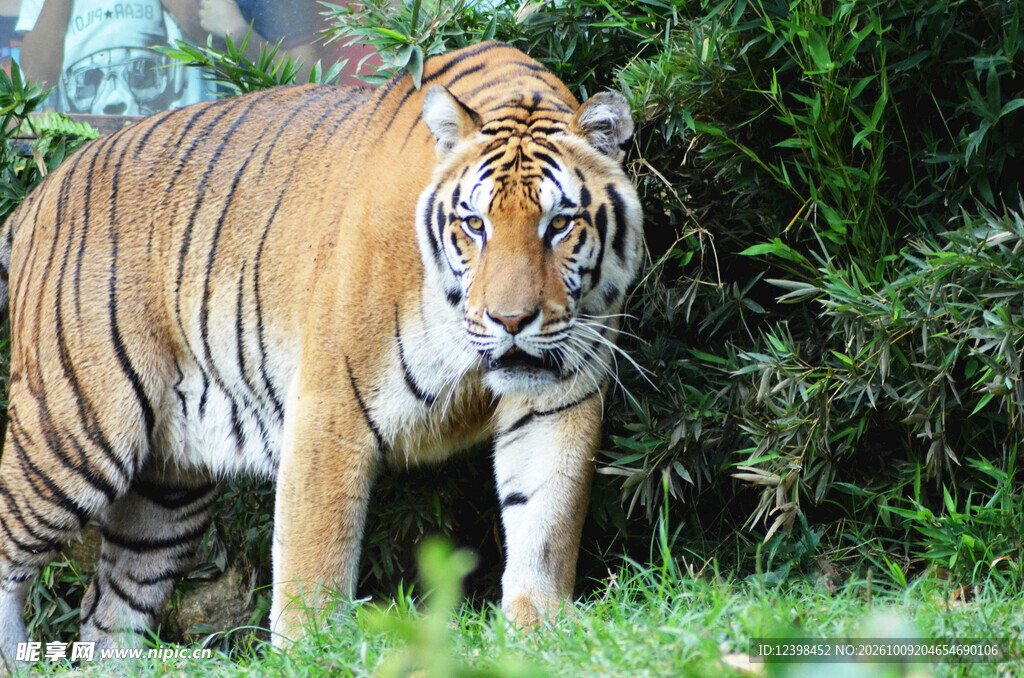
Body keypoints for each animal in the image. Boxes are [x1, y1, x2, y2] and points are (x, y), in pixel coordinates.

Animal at [0, 41, 642, 664]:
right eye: (474, 225)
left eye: (558, 224)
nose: (511, 321)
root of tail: (37, 194)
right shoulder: (332, 407)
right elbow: (316, 552)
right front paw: (309, 651)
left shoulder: (559, 400)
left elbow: (545, 522)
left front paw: (540, 634)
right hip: (76, 429)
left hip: (165, 494)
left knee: (108, 611)